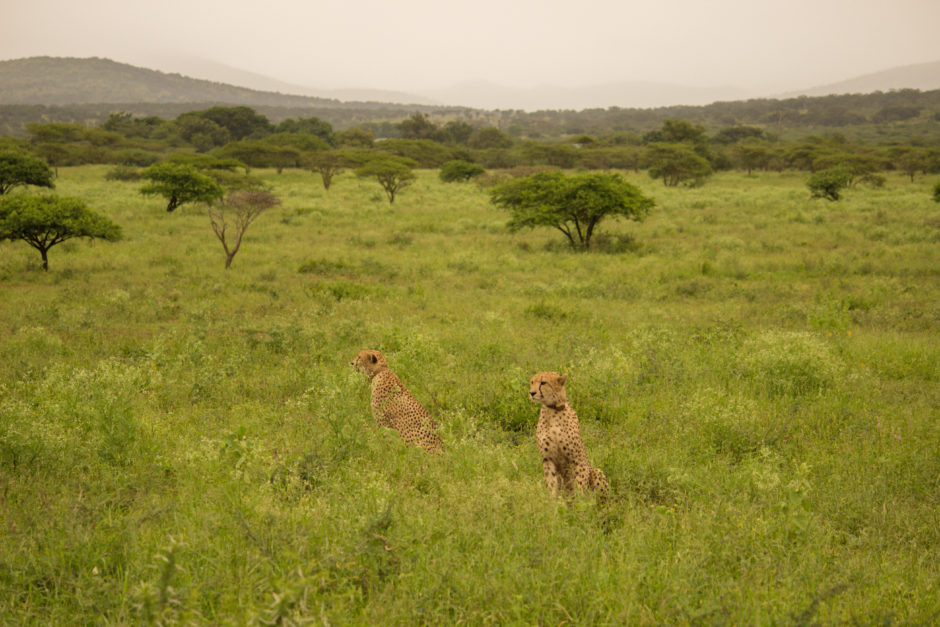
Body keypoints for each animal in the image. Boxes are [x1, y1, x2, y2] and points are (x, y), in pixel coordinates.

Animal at [528, 372, 608, 500]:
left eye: (543, 382)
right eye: (532, 382)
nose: (532, 393)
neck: (553, 409)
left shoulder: (577, 459)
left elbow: (580, 483)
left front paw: (581, 502)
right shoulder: (548, 459)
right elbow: (551, 483)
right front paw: (552, 502)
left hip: (597, 471)